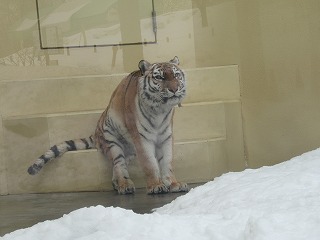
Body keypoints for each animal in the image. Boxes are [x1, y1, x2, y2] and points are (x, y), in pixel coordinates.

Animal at [27, 56, 189, 195]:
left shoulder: (166, 136)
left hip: (130, 149)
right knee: (119, 165)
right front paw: (156, 186)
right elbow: (149, 163)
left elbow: (167, 162)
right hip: (113, 143)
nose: (174, 89)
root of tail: (95, 133)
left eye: (176, 75)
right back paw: (124, 185)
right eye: (159, 77)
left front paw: (174, 184)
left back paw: (117, 184)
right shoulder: (141, 139)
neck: (160, 110)